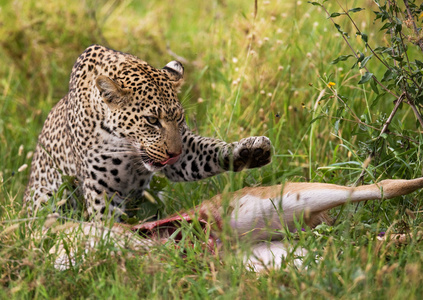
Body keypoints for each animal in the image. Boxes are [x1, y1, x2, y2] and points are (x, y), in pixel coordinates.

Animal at [24, 45, 274, 220]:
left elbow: (210, 150)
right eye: (152, 120)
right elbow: (107, 221)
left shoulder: (184, 150)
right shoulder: (100, 186)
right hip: (47, 195)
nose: (174, 154)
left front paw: (249, 151)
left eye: (179, 118)